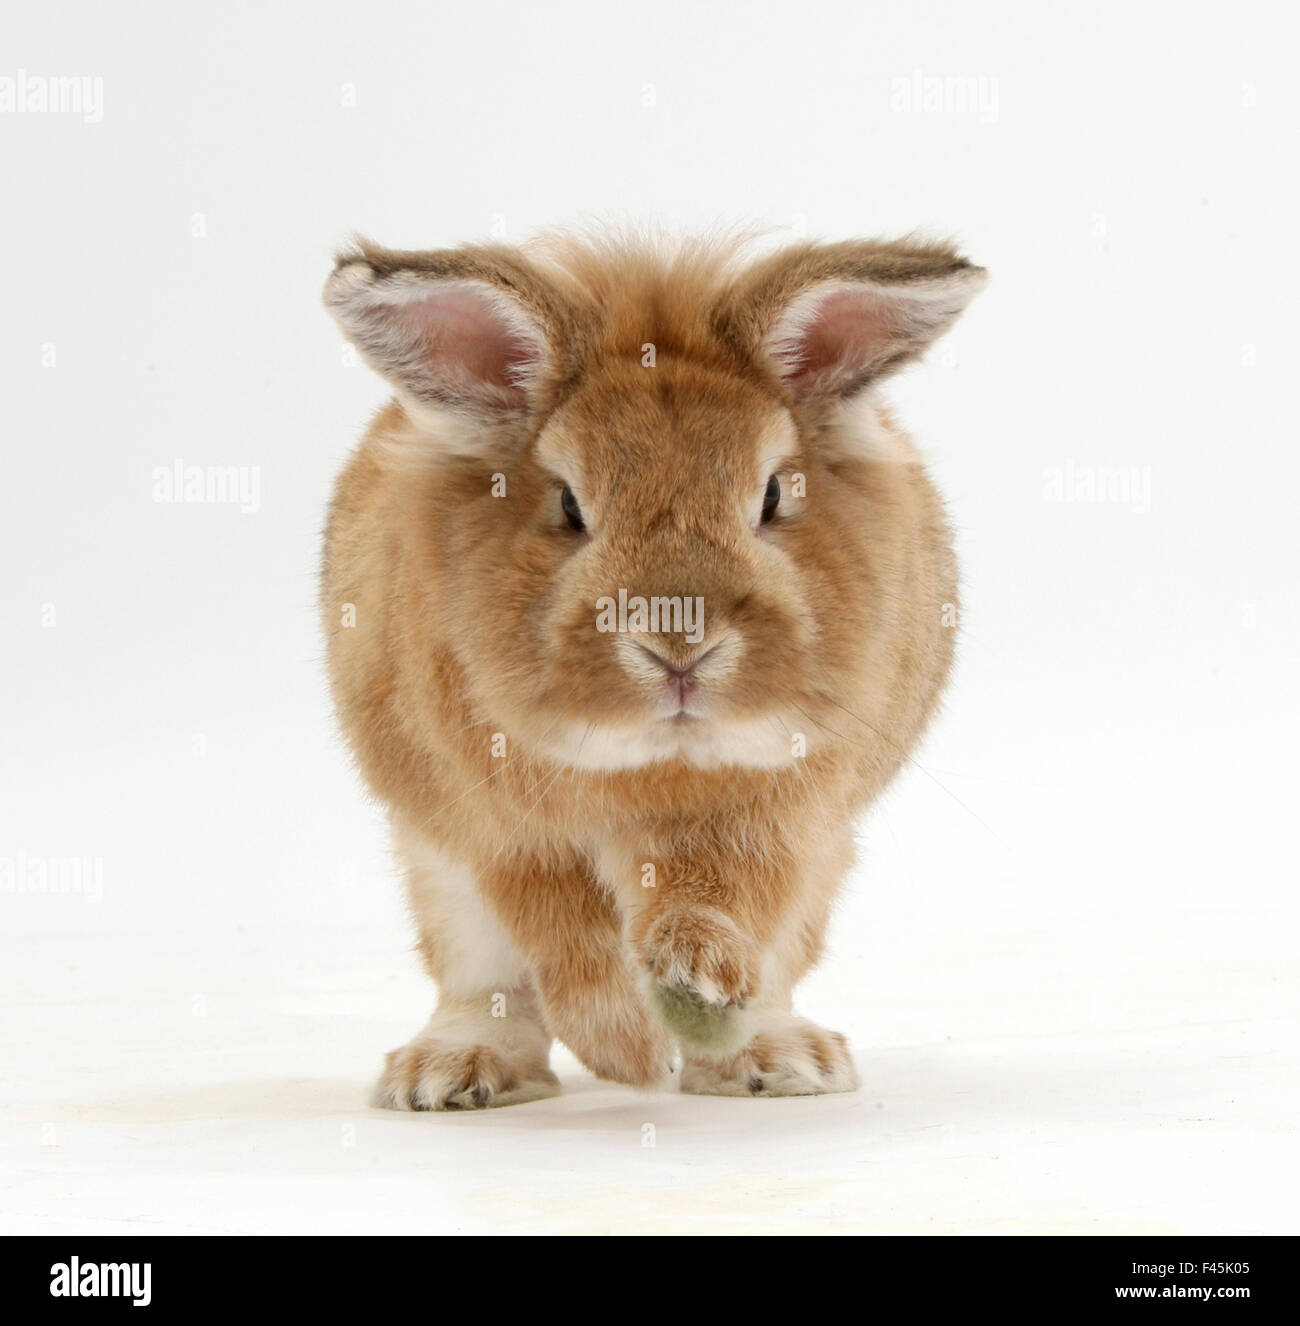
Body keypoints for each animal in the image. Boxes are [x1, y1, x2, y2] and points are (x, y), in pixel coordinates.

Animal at [320, 228, 986, 1108]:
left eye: (773, 496)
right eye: (570, 505)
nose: (679, 647)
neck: (654, 763)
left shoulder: (782, 821)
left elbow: (720, 901)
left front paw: (691, 989)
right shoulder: (502, 830)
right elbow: (563, 935)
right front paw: (624, 1045)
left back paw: (776, 1059)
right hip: (440, 880)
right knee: (483, 984)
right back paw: (453, 1074)